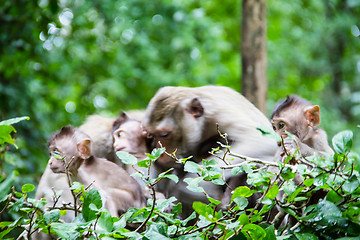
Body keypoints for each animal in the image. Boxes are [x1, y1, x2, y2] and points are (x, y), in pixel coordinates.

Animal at [141, 86, 278, 216]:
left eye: (164, 134)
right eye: (150, 134)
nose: (158, 150)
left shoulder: (219, 114)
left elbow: (262, 142)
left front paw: (187, 187)